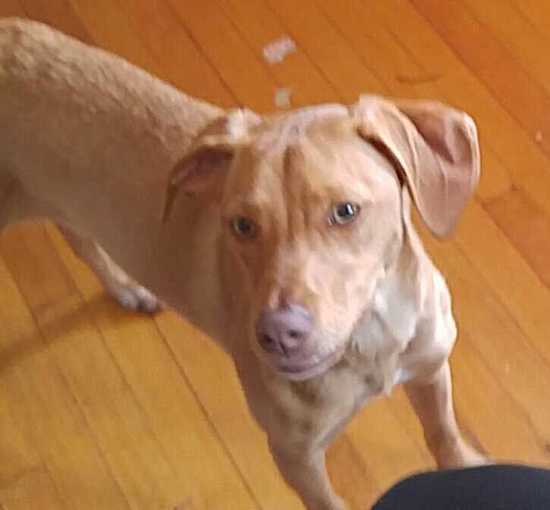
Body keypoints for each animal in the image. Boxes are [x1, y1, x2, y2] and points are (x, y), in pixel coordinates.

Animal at [2, 17, 490, 508]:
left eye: (345, 211)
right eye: (241, 224)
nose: (278, 336)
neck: (372, 339)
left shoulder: (431, 368)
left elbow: (443, 432)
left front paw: (467, 465)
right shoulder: (295, 456)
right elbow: (330, 500)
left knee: (79, 237)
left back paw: (126, 288)